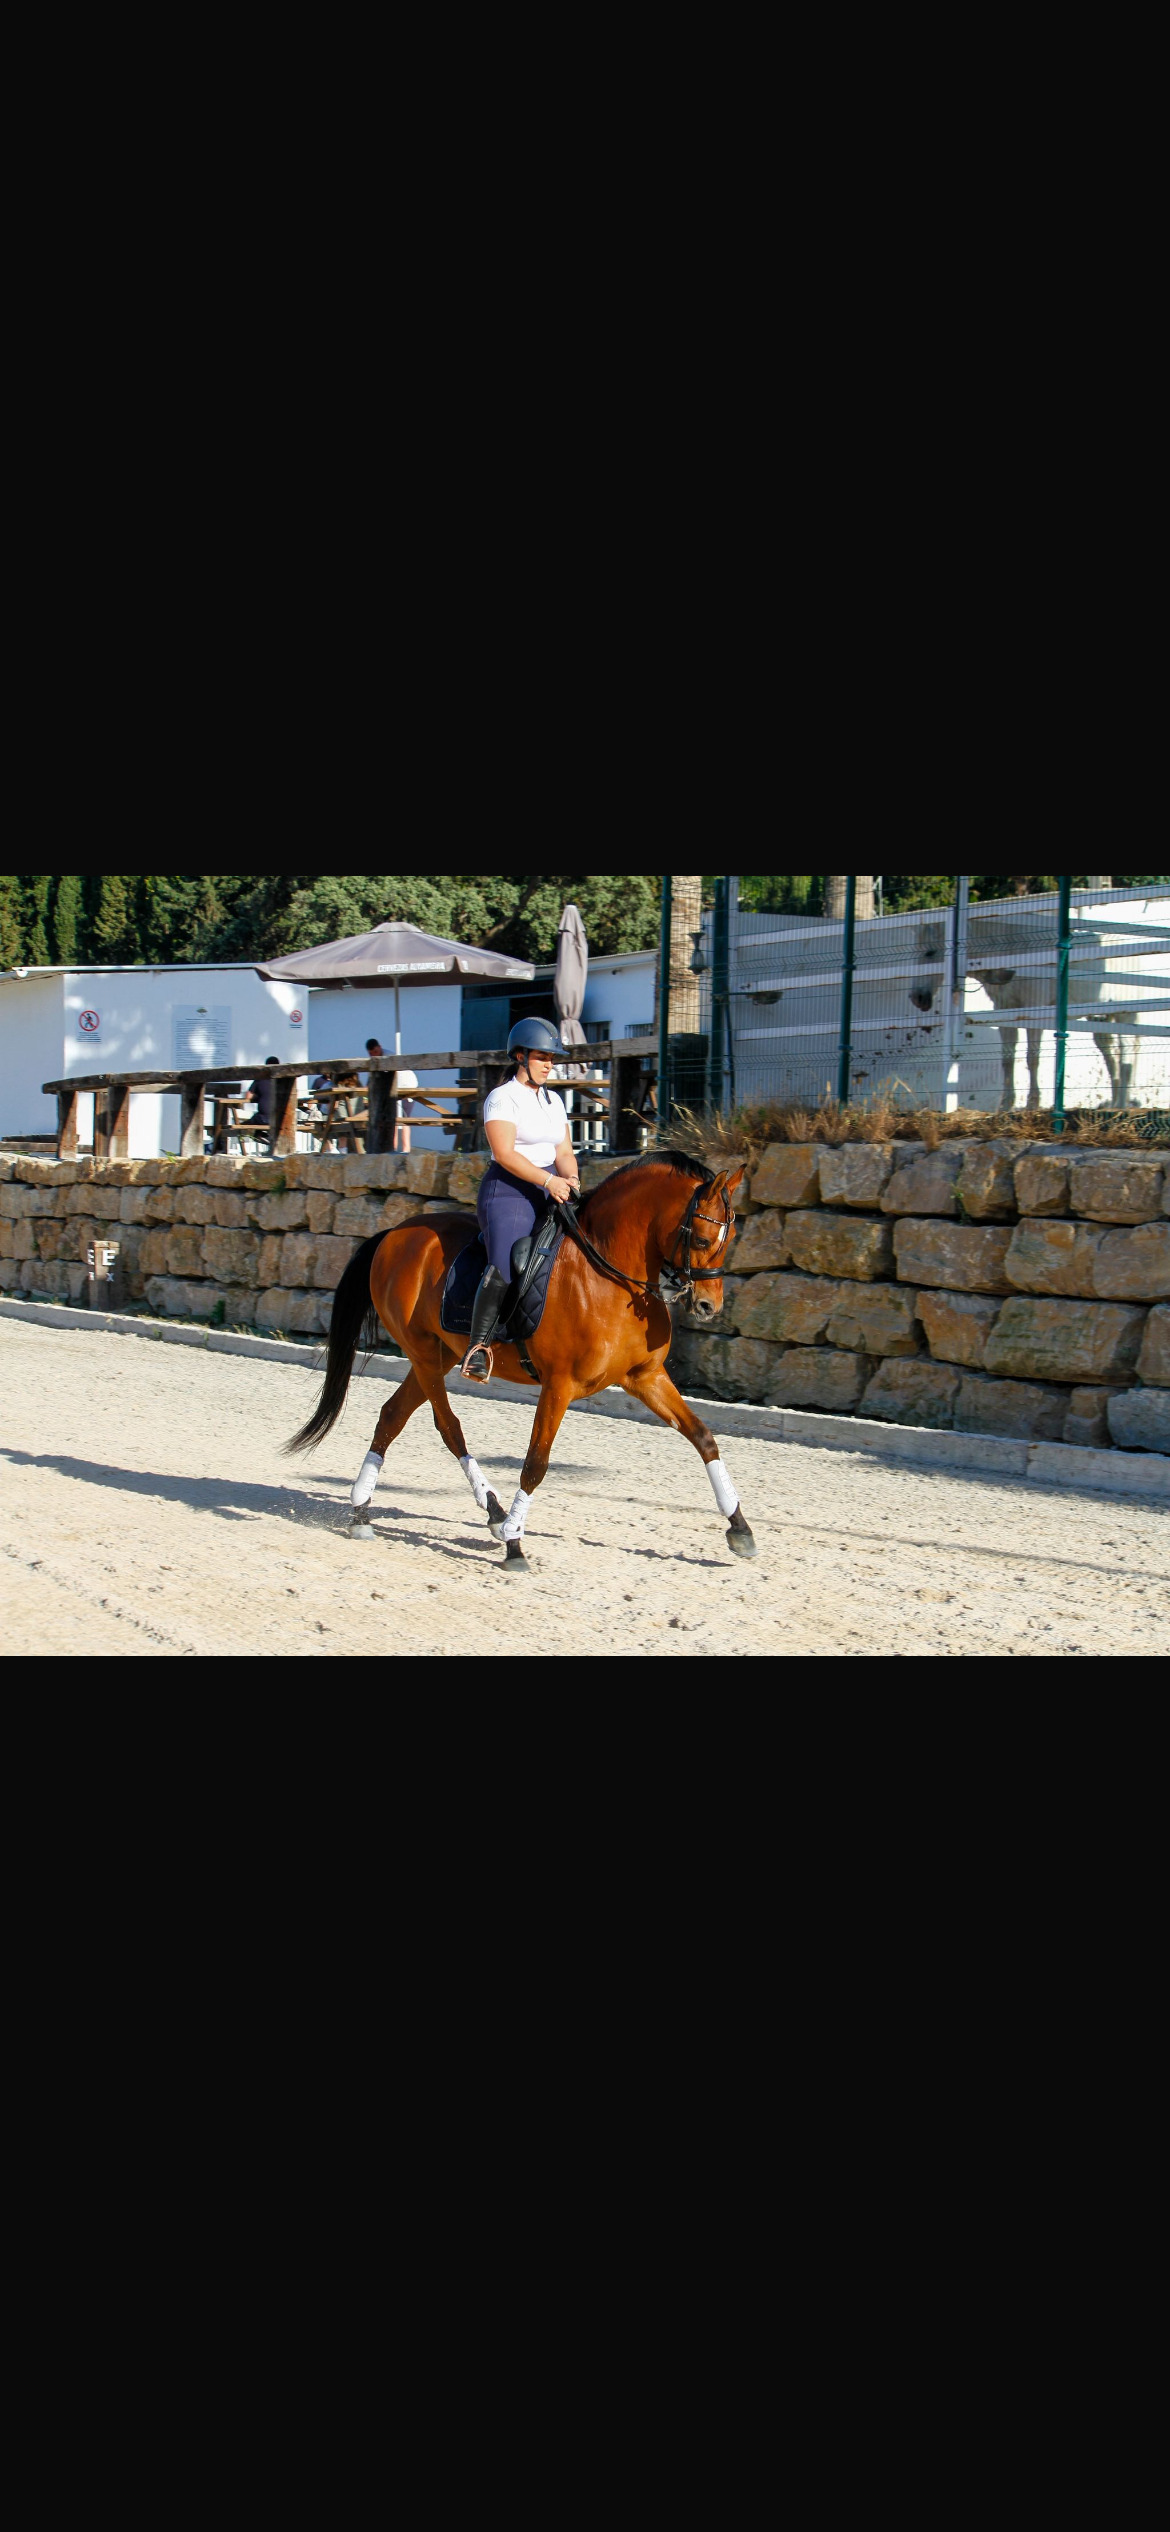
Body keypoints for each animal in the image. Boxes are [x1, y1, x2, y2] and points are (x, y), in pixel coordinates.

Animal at [285, 1151, 757, 1572]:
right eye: (701, 1240)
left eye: (730, 1241)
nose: (708, 1306)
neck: (610, 1277)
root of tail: (396, 1233)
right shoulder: (559, 1385)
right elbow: (535, 1464)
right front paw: (515, 1544)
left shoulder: (645, 1377)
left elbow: (703, 1437)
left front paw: (740, 1528)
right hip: (423, 1354)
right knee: (448, 1426)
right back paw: (494, 1514)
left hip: (437, 1356)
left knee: (392, 1416)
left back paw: (363, 1511)